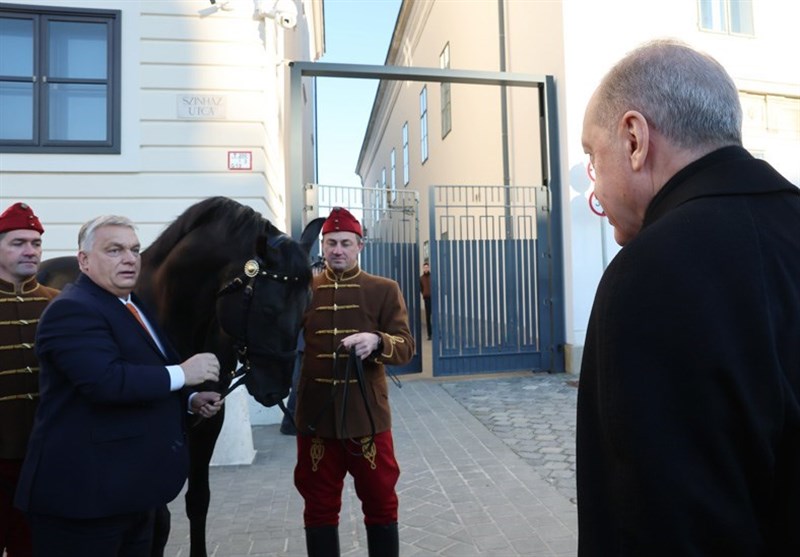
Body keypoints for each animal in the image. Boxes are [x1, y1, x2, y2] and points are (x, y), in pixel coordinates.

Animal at [36, 197, 324, 556]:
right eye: (268, 309)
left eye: (306, 308)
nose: (275, 391)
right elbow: (158, 521)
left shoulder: (207, 421)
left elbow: (198, 501)